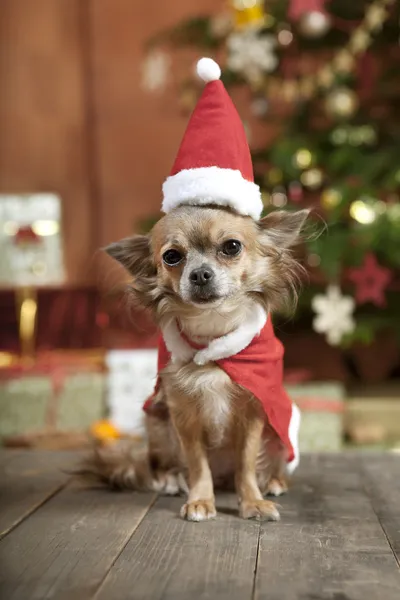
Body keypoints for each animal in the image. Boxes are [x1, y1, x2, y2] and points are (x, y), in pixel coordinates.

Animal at [79, 205, 310, 520]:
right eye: (171, 256)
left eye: (232, 247)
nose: (200, 273)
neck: (212, 329)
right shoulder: (184, 416)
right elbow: (198, 464)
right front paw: (201, 500)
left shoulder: (253, 412)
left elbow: (246, 464)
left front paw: (253, 501)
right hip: (157, 423)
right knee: (166, 465)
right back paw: (171, 481)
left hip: (278, 434)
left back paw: (274, 482)